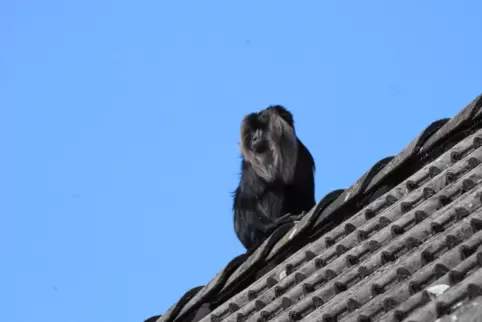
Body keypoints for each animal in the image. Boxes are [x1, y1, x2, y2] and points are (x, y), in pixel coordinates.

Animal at [233, 106, 316, 252]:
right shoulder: (250, 167)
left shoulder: (302, 155)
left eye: (262, 128)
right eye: (253, 131)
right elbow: (246, 202)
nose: (254, 138)